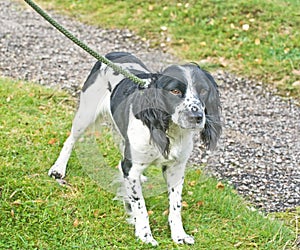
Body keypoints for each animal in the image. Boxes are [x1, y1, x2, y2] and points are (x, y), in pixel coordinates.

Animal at [47, 51, 220, 246]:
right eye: (174, 91)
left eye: (203, 91)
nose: (197, 117)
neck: (169, 128)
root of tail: (114, 53)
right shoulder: (132, 166)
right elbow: (140, 204)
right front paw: (144, 234)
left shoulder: (176, 168)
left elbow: (175, 205)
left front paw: (179, 235)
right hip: (86, 114)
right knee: (70, 140)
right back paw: (58, 168)